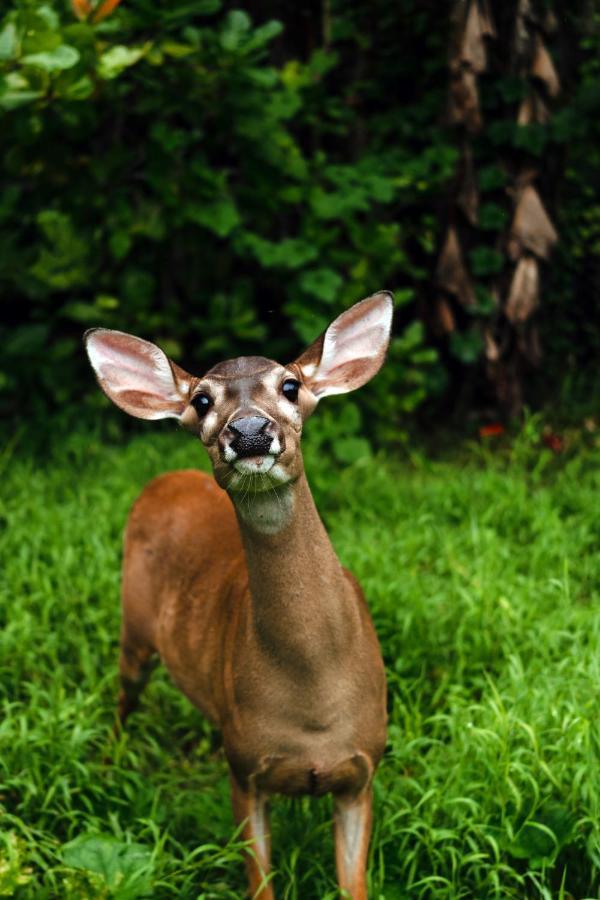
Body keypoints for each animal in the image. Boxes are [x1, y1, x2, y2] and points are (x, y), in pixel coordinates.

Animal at [85, 292, 394, 896]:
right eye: (202, 399)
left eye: (291, 384)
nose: (249, 430)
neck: (314, 702)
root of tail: (166, 479)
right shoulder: (245, 773)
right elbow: (260, 884)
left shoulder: (361, 772)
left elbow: (354, 884)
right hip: (133, 627)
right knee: (123, 698)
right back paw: (106, 767)